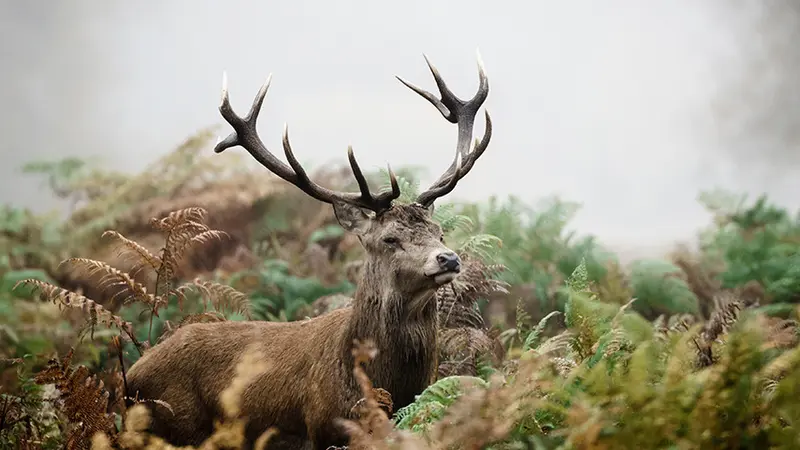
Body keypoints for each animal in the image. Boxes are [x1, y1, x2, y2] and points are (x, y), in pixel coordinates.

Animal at [124, 53, 492, 450]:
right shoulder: (322, 429)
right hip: (176, 426)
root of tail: (130, 376)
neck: (387, 387)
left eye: (439, 232)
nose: (448, 258)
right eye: (390, 239)